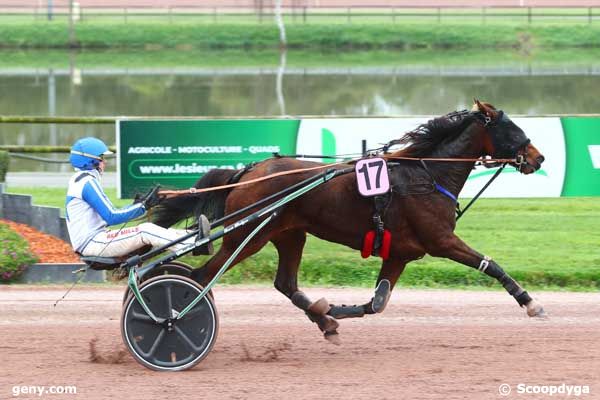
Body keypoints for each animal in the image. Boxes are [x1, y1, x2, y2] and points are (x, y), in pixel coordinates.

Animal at [151, 101, 548, 342]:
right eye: (512, 129)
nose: (539, 157)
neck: (426, 174)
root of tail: (247, 171)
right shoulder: (441, 241)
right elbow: (490, 264)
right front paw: (531, 303)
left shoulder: (400, 253)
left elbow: (377, 303)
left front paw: (333, 310)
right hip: (248, 237)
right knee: (201, 277)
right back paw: (176, 319)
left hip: (289, 234)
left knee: (285, 283)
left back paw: (324, 321)